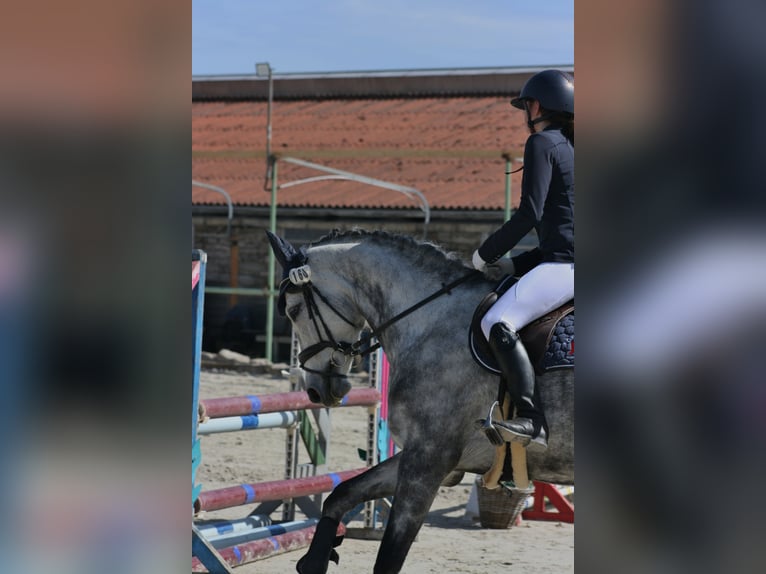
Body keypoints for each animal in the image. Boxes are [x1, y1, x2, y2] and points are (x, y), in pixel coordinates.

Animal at [268, 230, 572, 574]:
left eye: (293, 311)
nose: (316, 392)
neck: (431, 320)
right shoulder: (421, 455)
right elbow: (341, 493)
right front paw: (315, 559)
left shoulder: (428, 461)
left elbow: (389, 556)